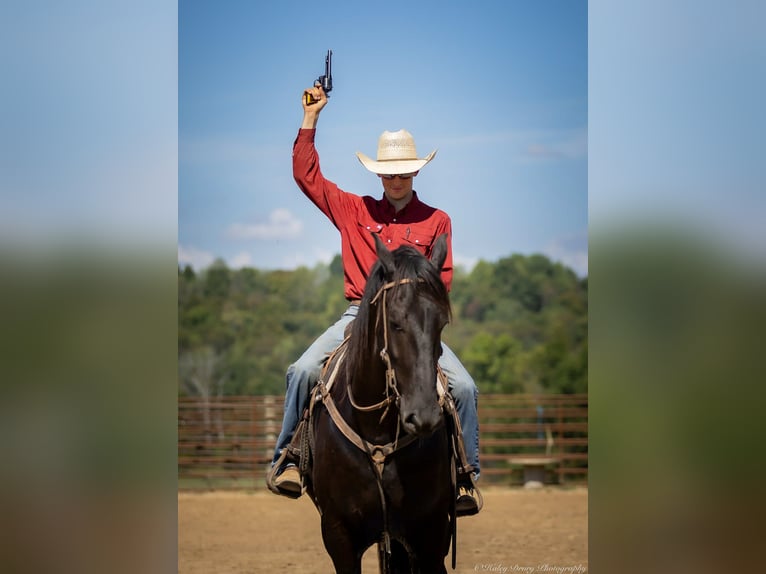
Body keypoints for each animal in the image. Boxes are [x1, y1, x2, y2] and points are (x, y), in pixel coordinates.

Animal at [304, 233, 456, 574]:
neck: (376, 432)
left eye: (441, 323)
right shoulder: (338, 535)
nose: (424, 416)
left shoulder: (430, 534)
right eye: (396, 322)